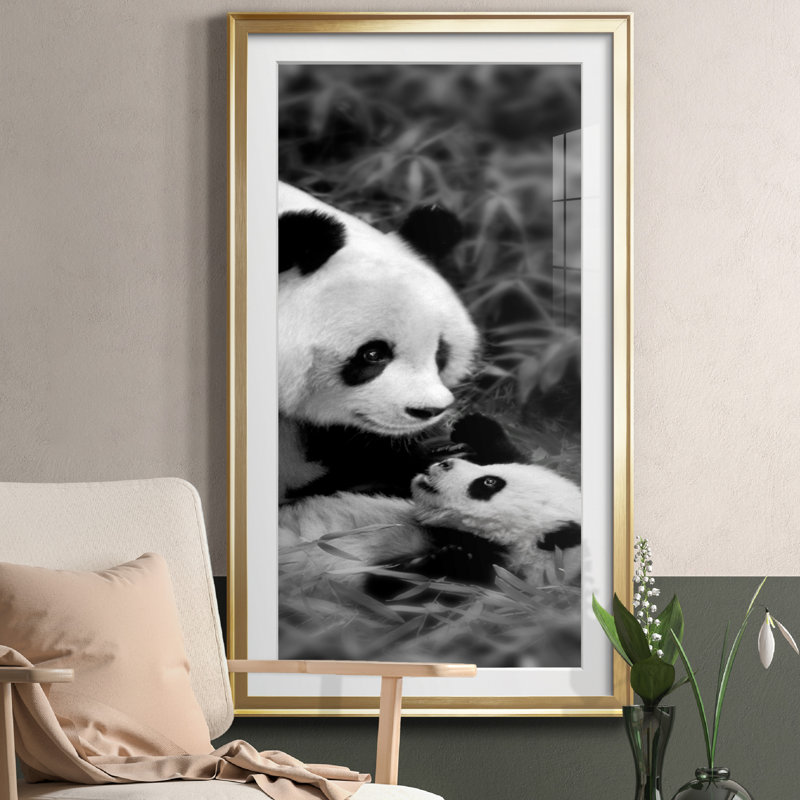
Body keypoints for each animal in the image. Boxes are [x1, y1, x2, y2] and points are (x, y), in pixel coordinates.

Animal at [278, 414, 582, 598]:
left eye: (488, 483)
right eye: (491, 472)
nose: (445, 464)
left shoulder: (493, 583)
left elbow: (397, 590)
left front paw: (455, 559)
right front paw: (474, 429)